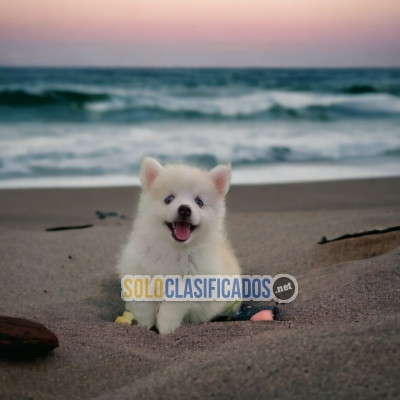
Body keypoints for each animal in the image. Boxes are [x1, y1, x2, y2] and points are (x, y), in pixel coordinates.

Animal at [116, 157, 241, 334]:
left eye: (199, 202)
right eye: (169, 199)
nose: (184, 209)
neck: (173, 248)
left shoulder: (196, 282)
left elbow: (174, 302)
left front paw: (165, 326)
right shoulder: (137, 268)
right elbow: (142, 299)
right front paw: (145, 322)